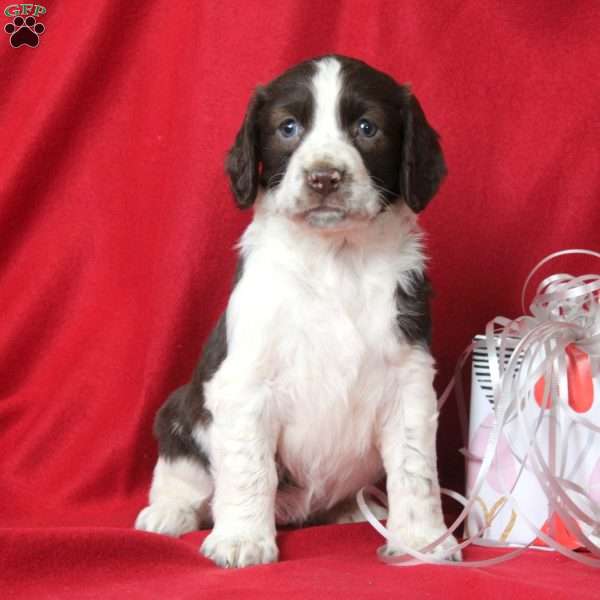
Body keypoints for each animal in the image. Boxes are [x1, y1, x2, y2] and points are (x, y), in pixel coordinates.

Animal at [134, 56, 460, 568]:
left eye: (367, 128)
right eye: (288, 128)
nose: (324, 177)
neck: (335, 258)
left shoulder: (409, 381)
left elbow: (415, 469)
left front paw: (421, 540)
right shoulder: (245, 382)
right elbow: (249, 468)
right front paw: (242, 539)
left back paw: (352, 509)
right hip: (177, 414)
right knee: (184, 478)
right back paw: (169, 513)